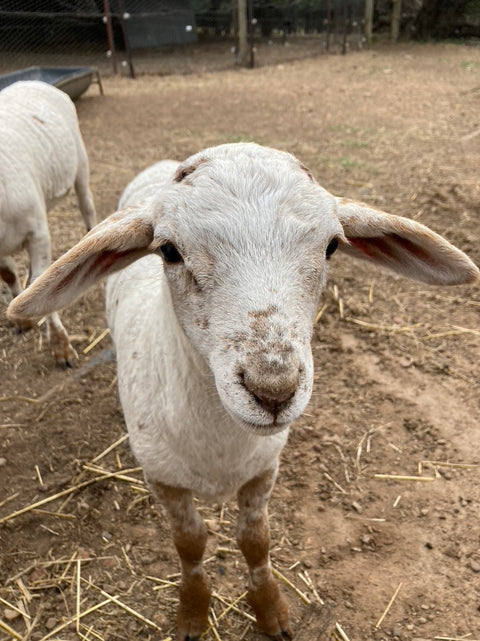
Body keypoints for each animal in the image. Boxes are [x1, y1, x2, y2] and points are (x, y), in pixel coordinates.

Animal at [0, 80, 96, 366]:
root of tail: (33, 81)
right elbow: (9, 274)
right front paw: (21, 320)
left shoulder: (37, 233)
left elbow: (39, 281)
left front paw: (61, 347)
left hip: (80, 165)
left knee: (87, 206)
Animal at [7, 143, 479, 640]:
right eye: (168, 251)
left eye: (332, 246)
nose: (273, 389)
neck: (220, 446)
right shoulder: (163, 478)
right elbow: (190, 545)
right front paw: (193, 611)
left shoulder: (263, 468)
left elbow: (256, 542)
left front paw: (270, 610)